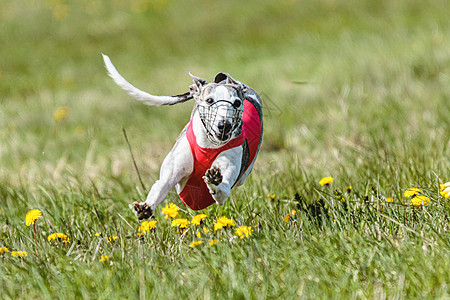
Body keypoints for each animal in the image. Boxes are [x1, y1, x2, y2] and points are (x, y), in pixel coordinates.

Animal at [102, 54, 264, 218]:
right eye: (209, 100)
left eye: (237, 103)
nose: (224, 125)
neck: (208, 144)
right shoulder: (171, 173)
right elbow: (160, 186)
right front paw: (145, 207)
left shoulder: (226, 178)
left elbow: (221, 190)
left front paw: (214, 181)